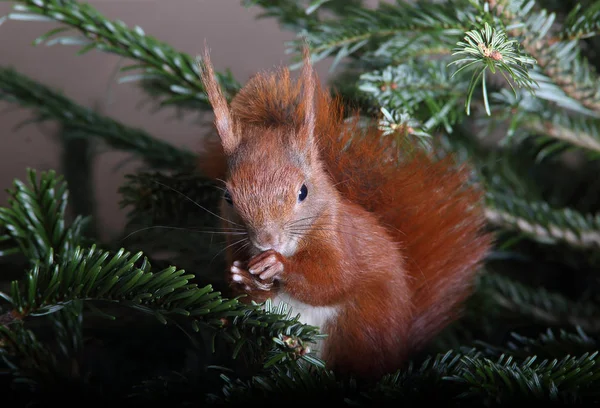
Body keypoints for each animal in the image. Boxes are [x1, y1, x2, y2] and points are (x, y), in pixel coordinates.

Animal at [199, 47, 490, 380]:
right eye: (228, 197)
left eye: (303, 191)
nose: (267, 240)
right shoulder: (233, 245)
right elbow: (247, 296)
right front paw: (244, 279)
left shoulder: (340, 240)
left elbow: (334, 280)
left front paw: (278, 265)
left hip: (362, 325)